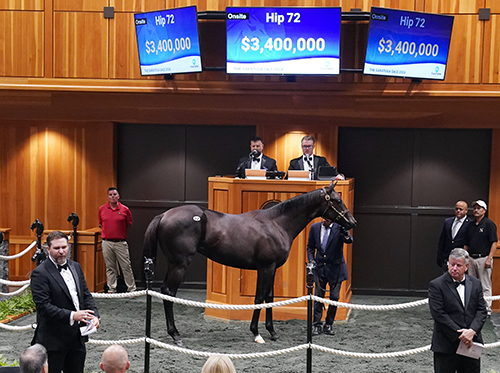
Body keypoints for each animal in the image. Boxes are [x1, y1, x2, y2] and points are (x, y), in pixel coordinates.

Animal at [143, 182, 358, 344]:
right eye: (337, 200)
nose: (352, 222)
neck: (277, 224)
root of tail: (164, 215)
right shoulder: (265, 267)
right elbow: (259, 298)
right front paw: (256, 333)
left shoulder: (272, 269)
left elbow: (269, 297)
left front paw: (272, 332)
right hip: (179, 264)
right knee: (169, 292)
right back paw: (175, 335)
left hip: (173, 264)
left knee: (164, 291)